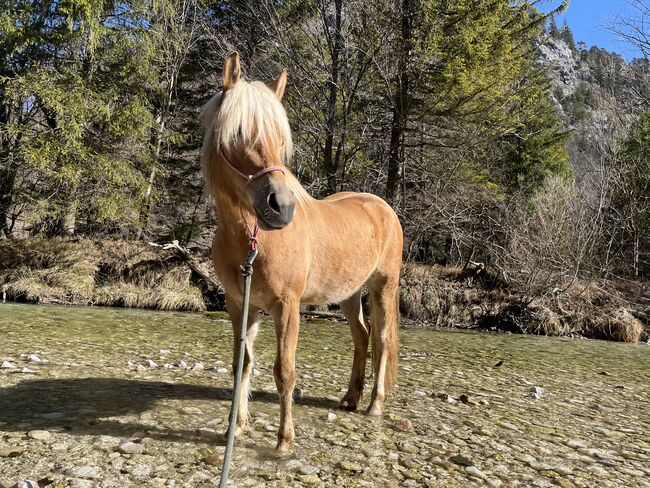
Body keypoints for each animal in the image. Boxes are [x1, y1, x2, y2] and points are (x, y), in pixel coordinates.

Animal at [200, 51, 402, 452]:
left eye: (281, 139)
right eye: (238, 133)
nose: (281, 207)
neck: (253, 243)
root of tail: (382, 206)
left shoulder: (287, 307)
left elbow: (285, 371)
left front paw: (284, 440)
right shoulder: (239, 305)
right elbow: (241, 365)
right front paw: (236, 428)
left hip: (383, 287)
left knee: (383, 340)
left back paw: (374, 405)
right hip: (349, 294)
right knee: (362, 336)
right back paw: (350, 398)